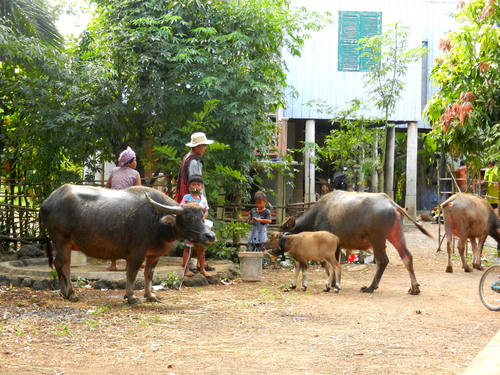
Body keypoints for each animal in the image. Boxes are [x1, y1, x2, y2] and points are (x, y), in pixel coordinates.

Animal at [40, 185, 216, 306]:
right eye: (189, 217)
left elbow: (149, 274)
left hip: (66, 244)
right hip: (61, 240)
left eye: (202, 217)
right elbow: (132, 273)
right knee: (63, 264)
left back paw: (64, 293)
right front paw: (131, 297)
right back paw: (71, 294)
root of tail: (47, 201)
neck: (159, 221)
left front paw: (150, 296)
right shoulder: (137, 253)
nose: (210, 236)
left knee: (60, 264)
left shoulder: (154, 255)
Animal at [282, 192, 434, 296]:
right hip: (396, 234)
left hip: (377, 239)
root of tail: (392, 204)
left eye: (283, 233)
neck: (317, 216)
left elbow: (328, 266)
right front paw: (334, 283)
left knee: (382, 260)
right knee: (407, 256)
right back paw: (414, 288)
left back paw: (371, 287)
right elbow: (335, 264)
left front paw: (330, 285)